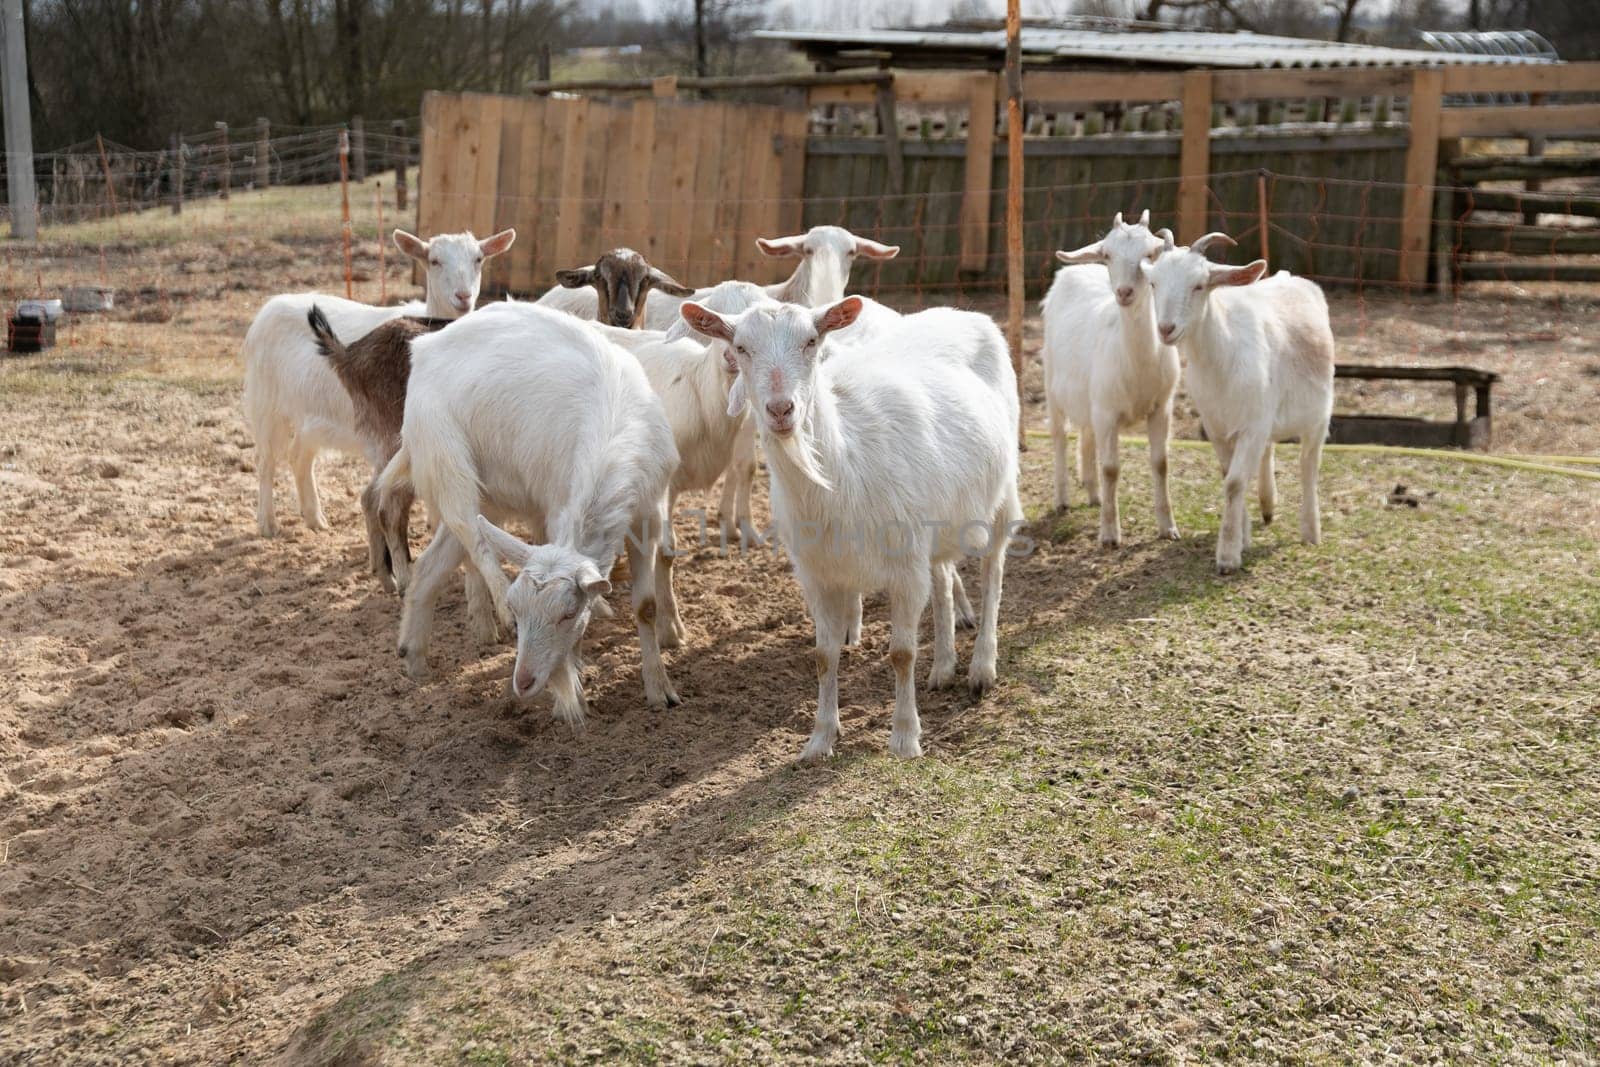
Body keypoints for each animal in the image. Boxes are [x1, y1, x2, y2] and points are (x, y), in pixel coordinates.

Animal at [241, 228, 512, 537]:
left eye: (478, 259)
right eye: (434, 261)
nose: (463, 296)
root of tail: (270, 305)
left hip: (310, 415)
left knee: (299, 456)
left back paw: (315, 519)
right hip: (266, 403)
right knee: (266, 460)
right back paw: (267, 522)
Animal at [384, 295, 678, 723]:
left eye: (568, 614)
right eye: (521, 609)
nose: (523, 682)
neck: (613, 432)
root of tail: (424, 349)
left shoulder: (648, 515)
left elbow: (646, 607)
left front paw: (659, 689)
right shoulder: (557, 506)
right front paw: (571, 695)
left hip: (490, 493)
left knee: (429, 567)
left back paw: (414, 659)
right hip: (446, 457)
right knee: (471, 535)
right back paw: (492, 609)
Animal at [681, 295, 1017, 764]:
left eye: (811, 341)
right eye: (741, 348)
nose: (781, 409)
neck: (842, 466)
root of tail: (963, 313)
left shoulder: (904, 565)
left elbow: (901, 652)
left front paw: (904, 739)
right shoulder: (817, 572)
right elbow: (824, 655)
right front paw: (820, 739)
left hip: (1002, 491)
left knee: (993, 570)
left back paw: (982, 667)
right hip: (934, 520)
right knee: (942, 577)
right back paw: (943, 666)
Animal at [1043, 209, 1184, 547]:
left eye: (1150, 254)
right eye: (1107, 255)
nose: (1123, 292)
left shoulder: (1162, 407)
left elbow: (1161, 464)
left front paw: (1168, 528)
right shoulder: (1107, 411)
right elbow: (1110, 469)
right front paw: (1109, 534)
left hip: (1089, 397)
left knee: (1086, 435)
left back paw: (1093, 495)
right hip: (1052, 384)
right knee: (1059, 436)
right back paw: (1062, 500)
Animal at [1139, 235, 1337, 575]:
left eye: (1199, 285)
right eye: (1154, 283)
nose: (1166, 328)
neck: (1220, 358)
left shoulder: (1251, 426)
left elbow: (1233, 483)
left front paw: (1228, 556)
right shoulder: (1218, 427)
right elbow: (1230, 476)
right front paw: (1243, 538)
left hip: (1317, 417)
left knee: (1308, 466)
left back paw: (1311, 531)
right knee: (1269, 452)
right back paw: (1268, 506)